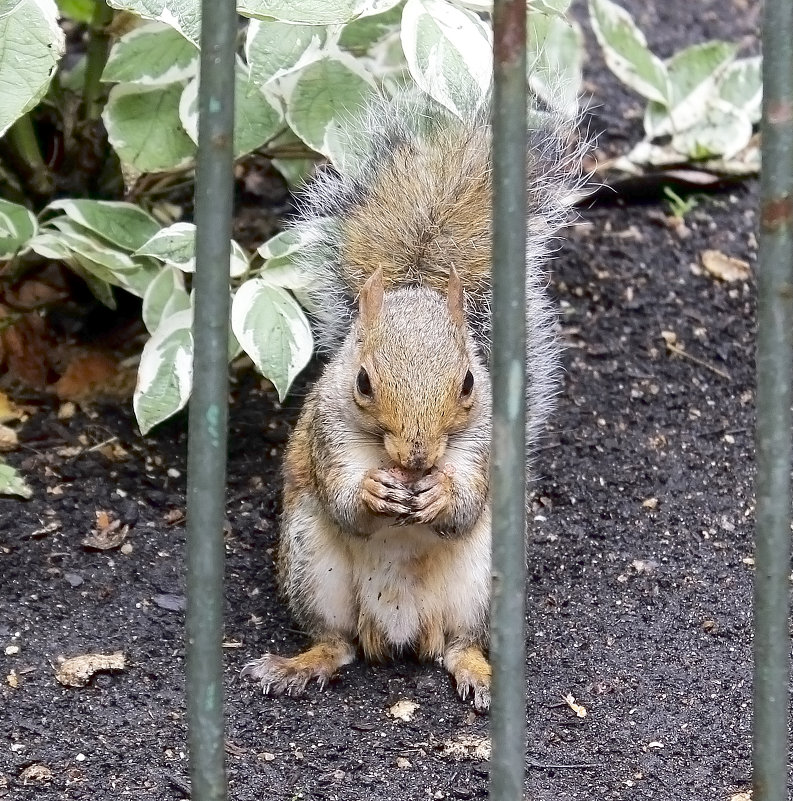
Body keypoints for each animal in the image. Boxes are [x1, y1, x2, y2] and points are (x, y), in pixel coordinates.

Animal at [241, 90, 580, 708]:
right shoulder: (328, 435)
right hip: (311, 567)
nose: (418, 457)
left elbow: (465, 503)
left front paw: (440, 492)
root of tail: (399, 629)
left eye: (469, 382)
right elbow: (345, 503)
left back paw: (480, 674)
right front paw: (373, 490)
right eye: (363, 382)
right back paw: (300, 665)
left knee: (460, 644)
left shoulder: (483, 443)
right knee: (338, 642)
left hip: (480, 586)